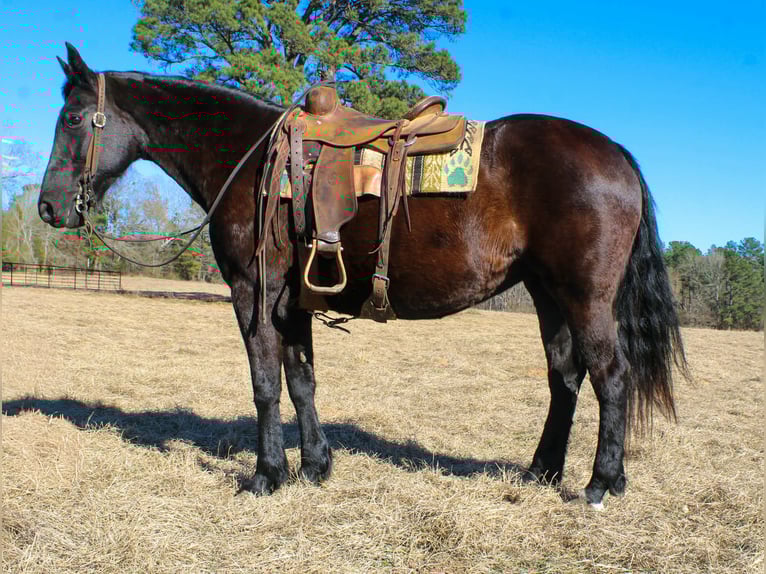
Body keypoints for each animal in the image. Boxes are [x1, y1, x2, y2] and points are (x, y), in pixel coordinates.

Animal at [38, 43, 686, 509]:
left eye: (72, 118)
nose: (48, 207)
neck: (251, 159)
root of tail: (616, 153)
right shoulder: (291, 301)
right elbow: (301, 380)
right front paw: (315, 466)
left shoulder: (253, 294)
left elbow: (265, 383)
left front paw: (267, 475)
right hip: (548, 295)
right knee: (564, 377)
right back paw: (540, 473)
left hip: (585, 297)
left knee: (610, 376)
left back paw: (601, 483)